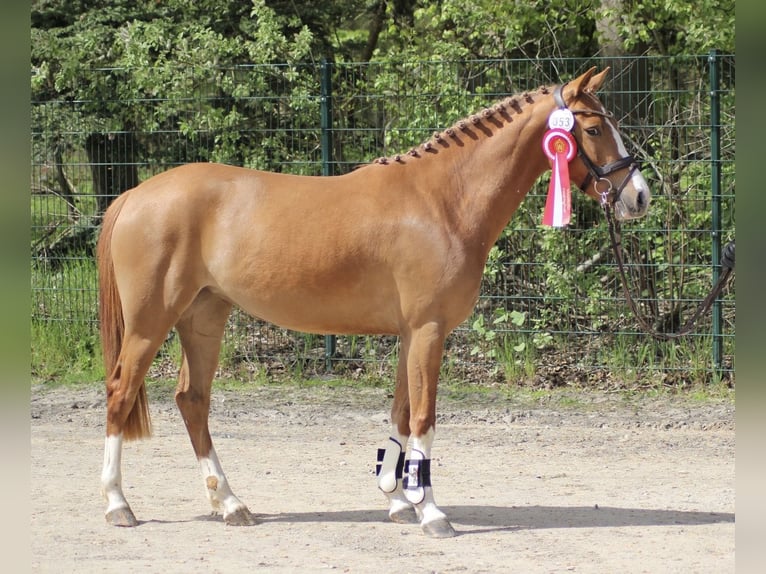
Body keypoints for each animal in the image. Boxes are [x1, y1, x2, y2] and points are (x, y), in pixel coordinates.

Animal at [97, 67, 650, 538]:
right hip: (151, 322)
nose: (639, 196)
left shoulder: (411, 334)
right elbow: (425, 419)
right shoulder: (429, 330)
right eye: (595, 128)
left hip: (204, 315)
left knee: (193, 400)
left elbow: (402, 416)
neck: (442, 201)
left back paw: (231, 504)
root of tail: (133, 196)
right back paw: (118, 505)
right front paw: (432, 514)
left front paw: (400, 501)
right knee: (121, 392)